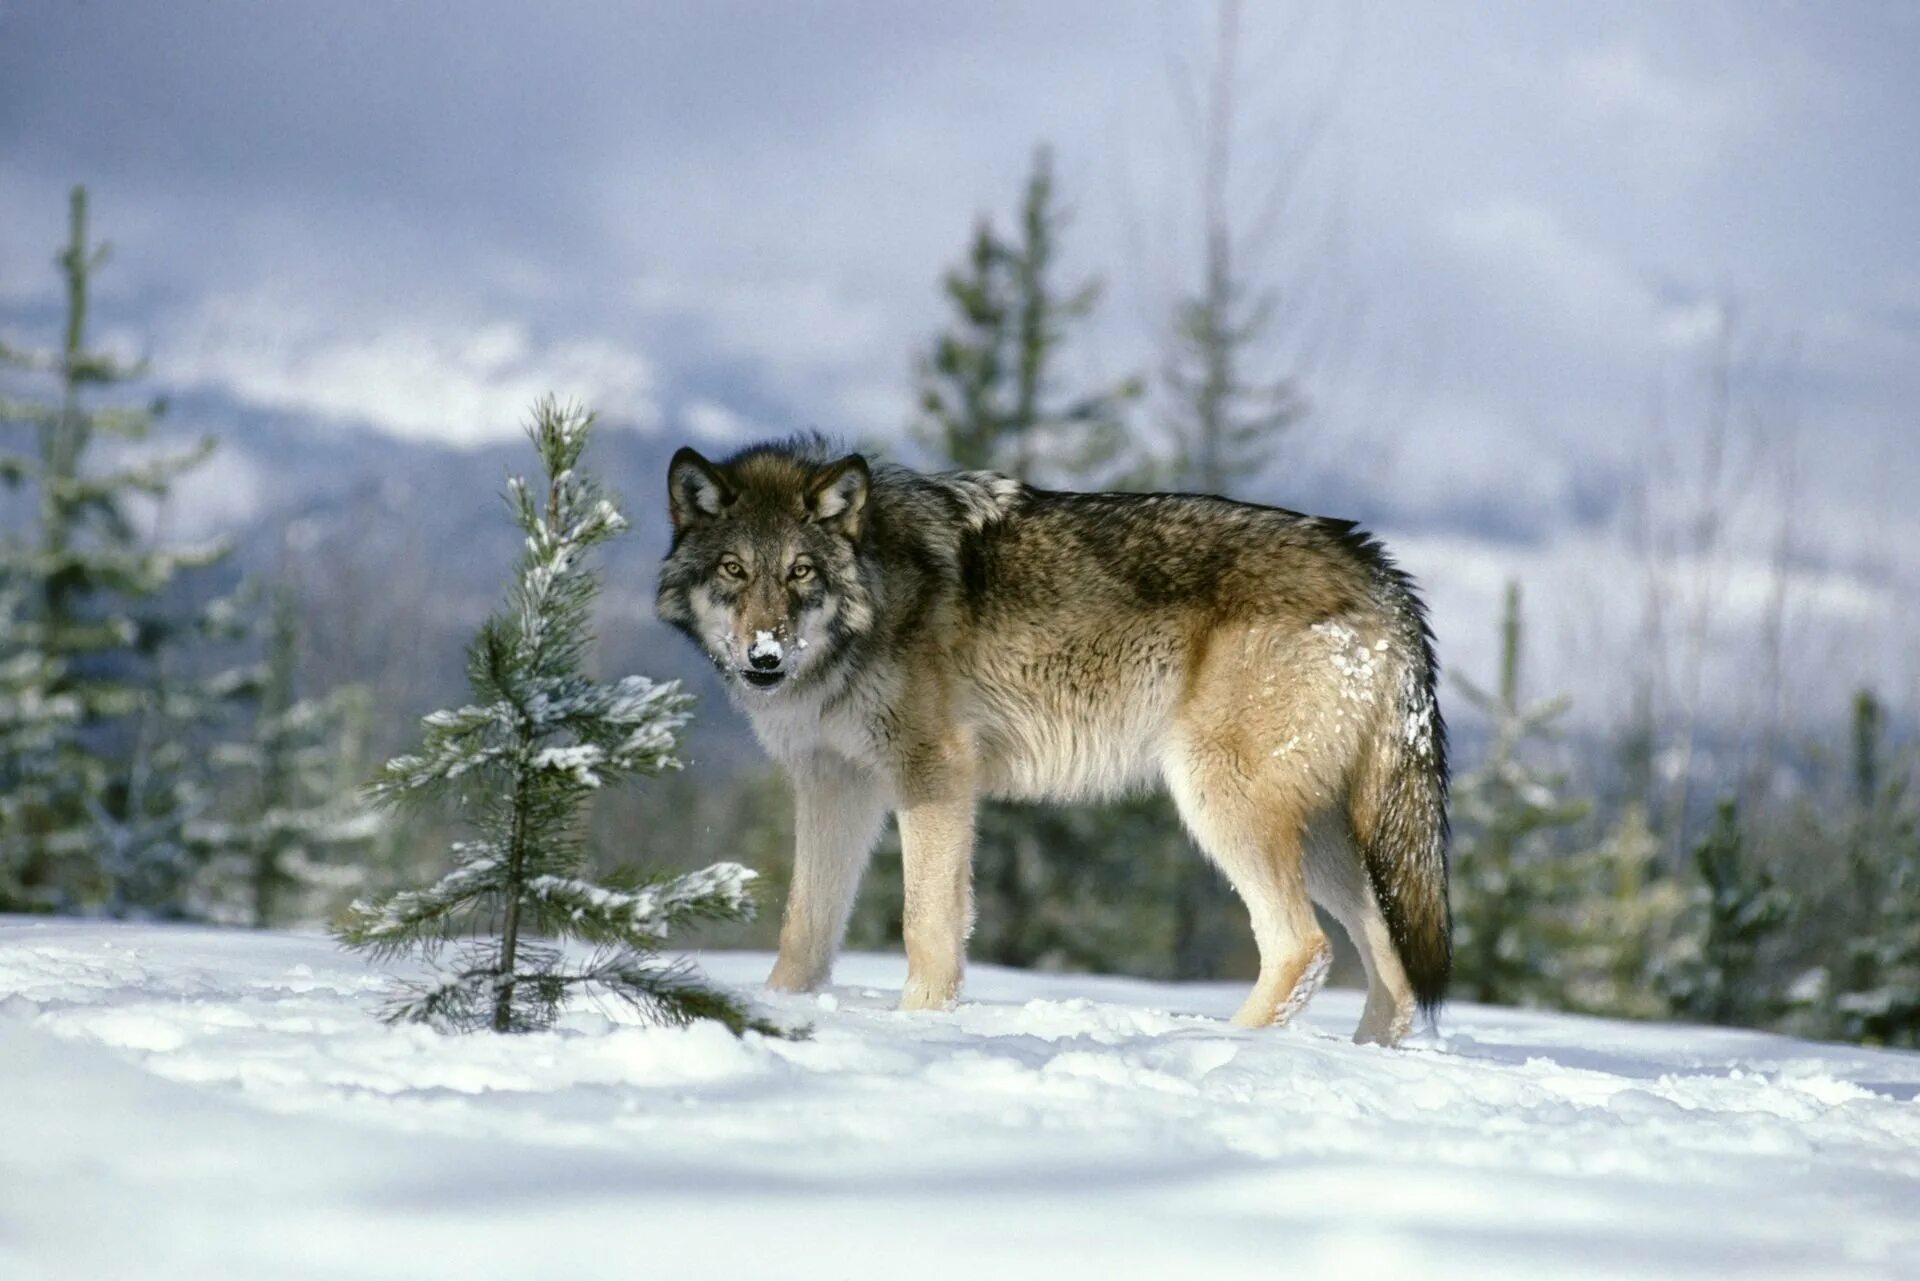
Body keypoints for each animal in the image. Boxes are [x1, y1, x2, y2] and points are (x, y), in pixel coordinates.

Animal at [652, 437, 1443, 1044]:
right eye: (734, 570)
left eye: (801, 572)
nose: (764, 657)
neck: (873, 598)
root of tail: (1383, 574)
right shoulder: (833, 784)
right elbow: (804, 929)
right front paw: (776, 1013)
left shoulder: (934, 775)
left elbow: (926, 924)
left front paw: (921, 1027)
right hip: (1329, 839)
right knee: (1395, 969)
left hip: (1222, 802)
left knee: (1304, 949)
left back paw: (1224, 1046)